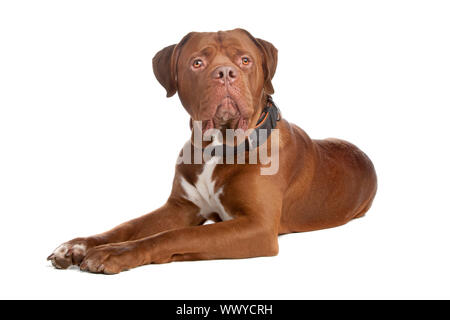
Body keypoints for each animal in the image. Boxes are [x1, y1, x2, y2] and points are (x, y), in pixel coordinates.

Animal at [46, 28, 376, 276]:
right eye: (197, 63)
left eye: (245, 60)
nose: (225, 72)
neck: (215, 147)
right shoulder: (180, 207)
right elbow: (129, 225)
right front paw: (78, 245)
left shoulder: (257, 227)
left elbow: (178, 235)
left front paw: (113, 254)